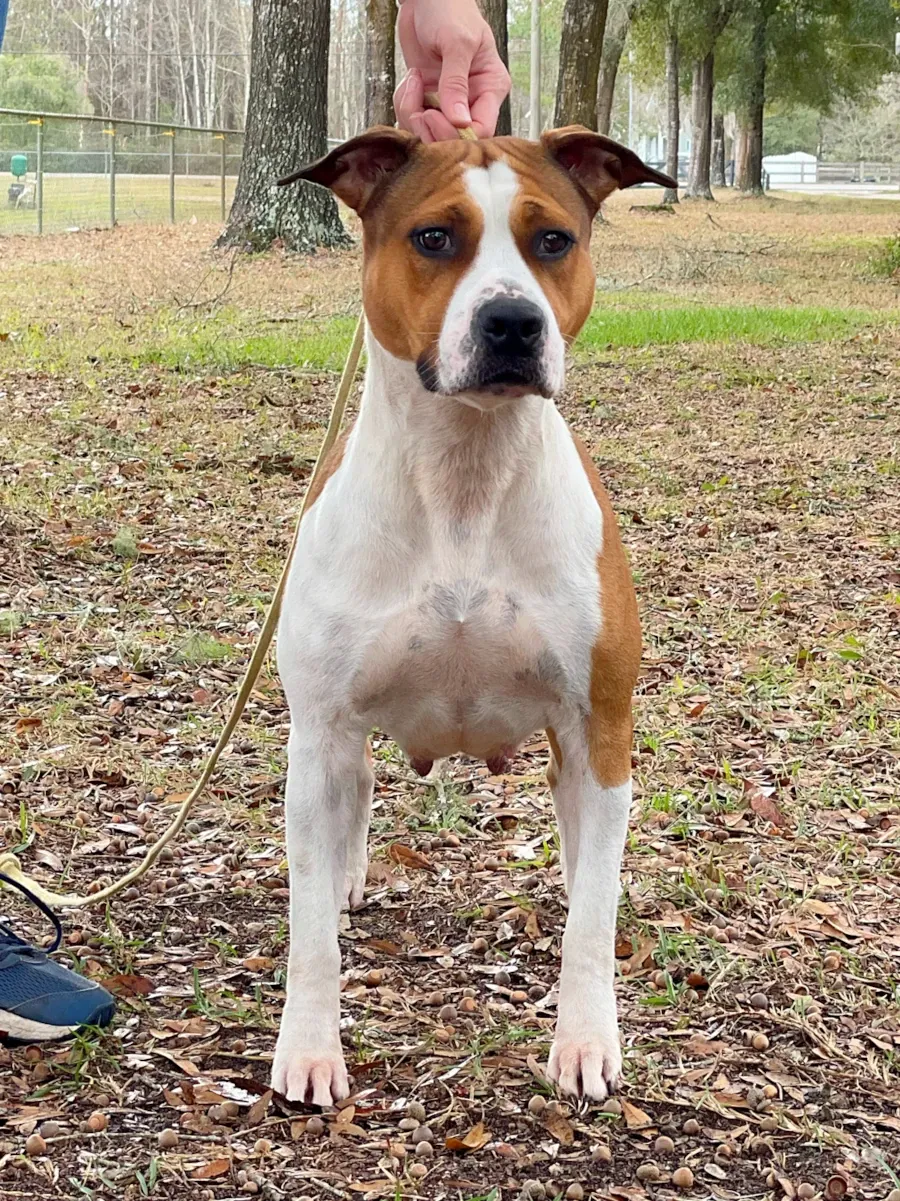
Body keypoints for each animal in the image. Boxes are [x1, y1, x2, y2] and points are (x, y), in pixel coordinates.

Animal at [273, 126, 672, 1100]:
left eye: (554, 240)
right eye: (434, 238)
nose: (513, 322)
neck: (464, 478)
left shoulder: (600, 726)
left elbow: (593, 918)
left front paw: (585, 1038)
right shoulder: (319, 730)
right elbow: (308, 930)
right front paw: (309, 1047)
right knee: (355, 797)